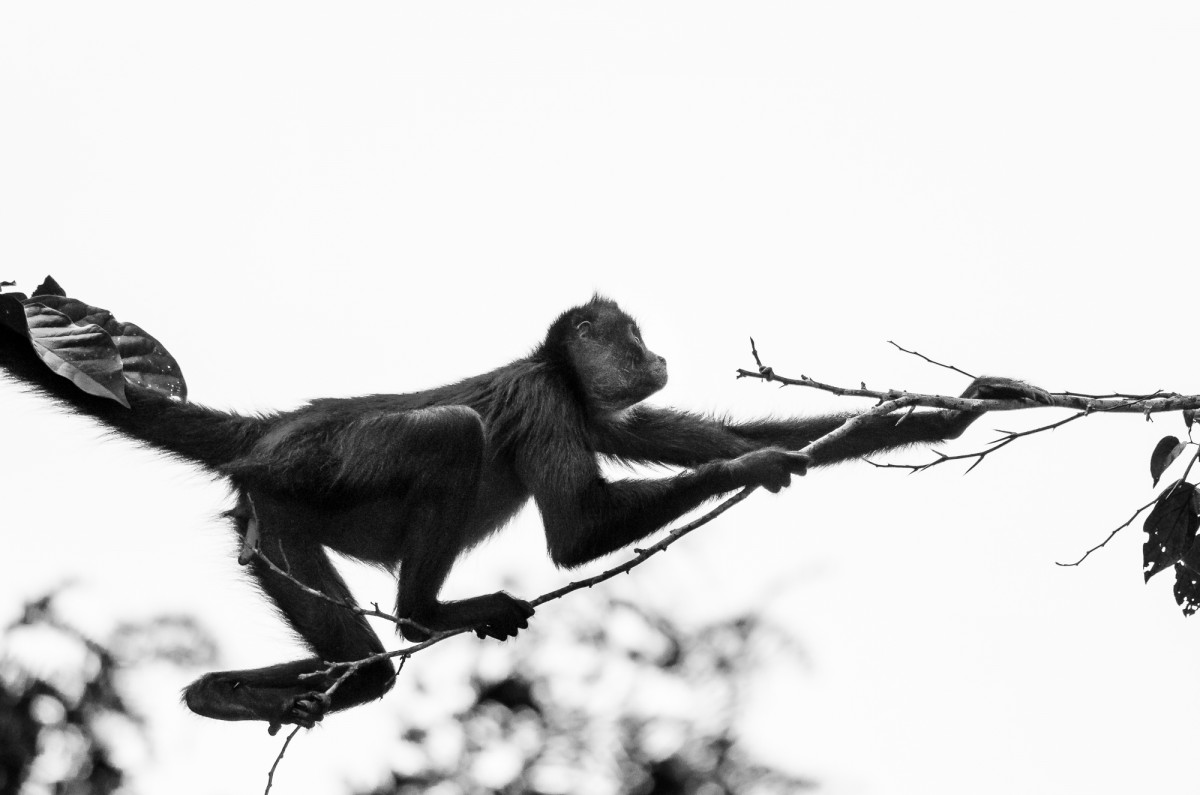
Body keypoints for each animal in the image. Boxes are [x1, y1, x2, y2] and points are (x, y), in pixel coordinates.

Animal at [0, 293, 1046, 730]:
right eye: (632, 336)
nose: (658, 354)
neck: (555, 370)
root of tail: (274, 431)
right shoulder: (553, 399)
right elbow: (577, 534)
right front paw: (756, 462)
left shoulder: (589, 405)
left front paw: (954, 409)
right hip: (297, 492)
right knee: (452, 433)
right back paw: (422, 617)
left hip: (268, 526)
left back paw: (223, 692)